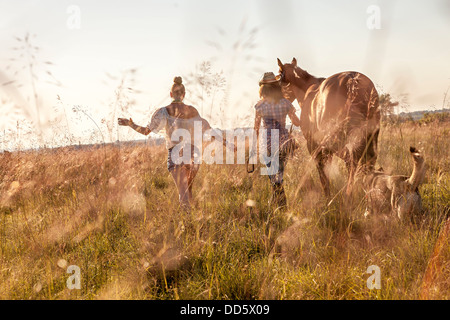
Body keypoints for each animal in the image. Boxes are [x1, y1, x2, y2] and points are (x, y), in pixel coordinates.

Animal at [278, 58, 380, 198]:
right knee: (367, 163)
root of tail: (352, 81)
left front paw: (328, 196)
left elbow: (323, 174)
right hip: (370, 139)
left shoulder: (315, 146)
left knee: (351, 163)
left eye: (279, 75)